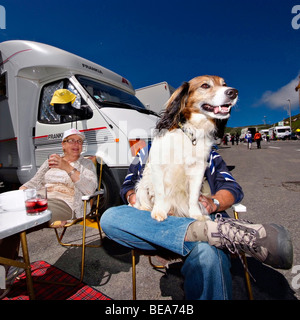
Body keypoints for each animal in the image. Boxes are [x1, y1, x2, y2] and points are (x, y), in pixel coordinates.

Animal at [135, 75, 238, 221]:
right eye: (205, 85)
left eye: (224, 84)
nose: (234, 92)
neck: (190, 132)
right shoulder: (158, 166)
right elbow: (160, 193)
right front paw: (159, 211)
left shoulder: (197, 170)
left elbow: (194, 197)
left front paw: (196, 215)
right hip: (142, 184)